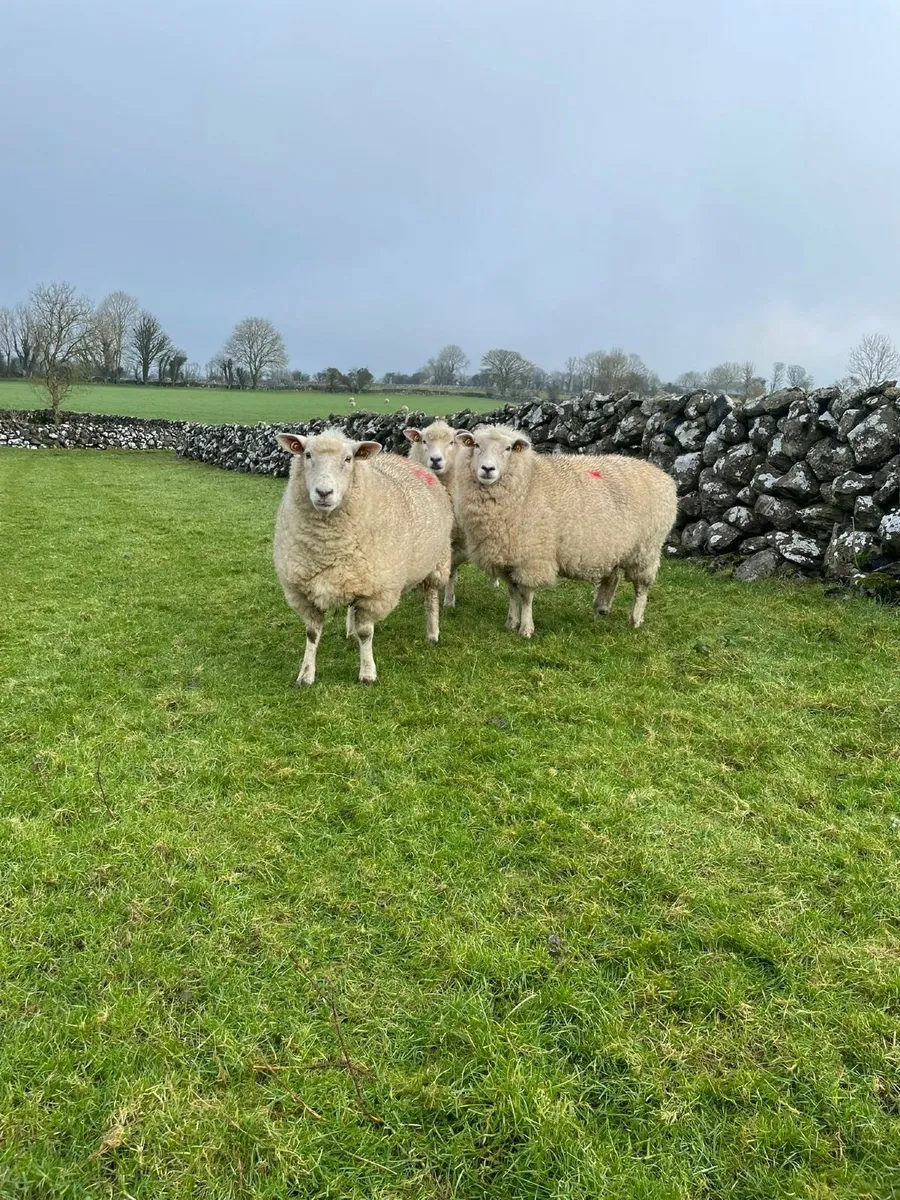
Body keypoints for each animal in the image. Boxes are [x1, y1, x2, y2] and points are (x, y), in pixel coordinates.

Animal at [273, 429, 453, 684]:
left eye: (348, 459)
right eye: (307, 455)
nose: (324, 493)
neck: (328, 545)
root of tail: (400, 458)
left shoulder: (376, 593)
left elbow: (366, 632)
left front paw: (367, 673)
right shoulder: (303, 592)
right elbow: (312, 633)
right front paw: (306, 674)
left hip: (438, 560)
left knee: (431, 597)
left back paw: (433, 633)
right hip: (355, 575)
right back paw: (349, 632)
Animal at [452, 424, 676, 637]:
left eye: (508, 449)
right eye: (476, 445)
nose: (487, 469)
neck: (527, 485)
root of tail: (664, 476)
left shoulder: (532, 558)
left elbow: (526, 596)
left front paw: (526, 629)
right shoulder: (510, 558)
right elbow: (513, 593)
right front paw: (510, 623)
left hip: (646, 549)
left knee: (641, 587)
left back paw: (636, 619)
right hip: (613, 546)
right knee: (612, 577)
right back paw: (601, 608)